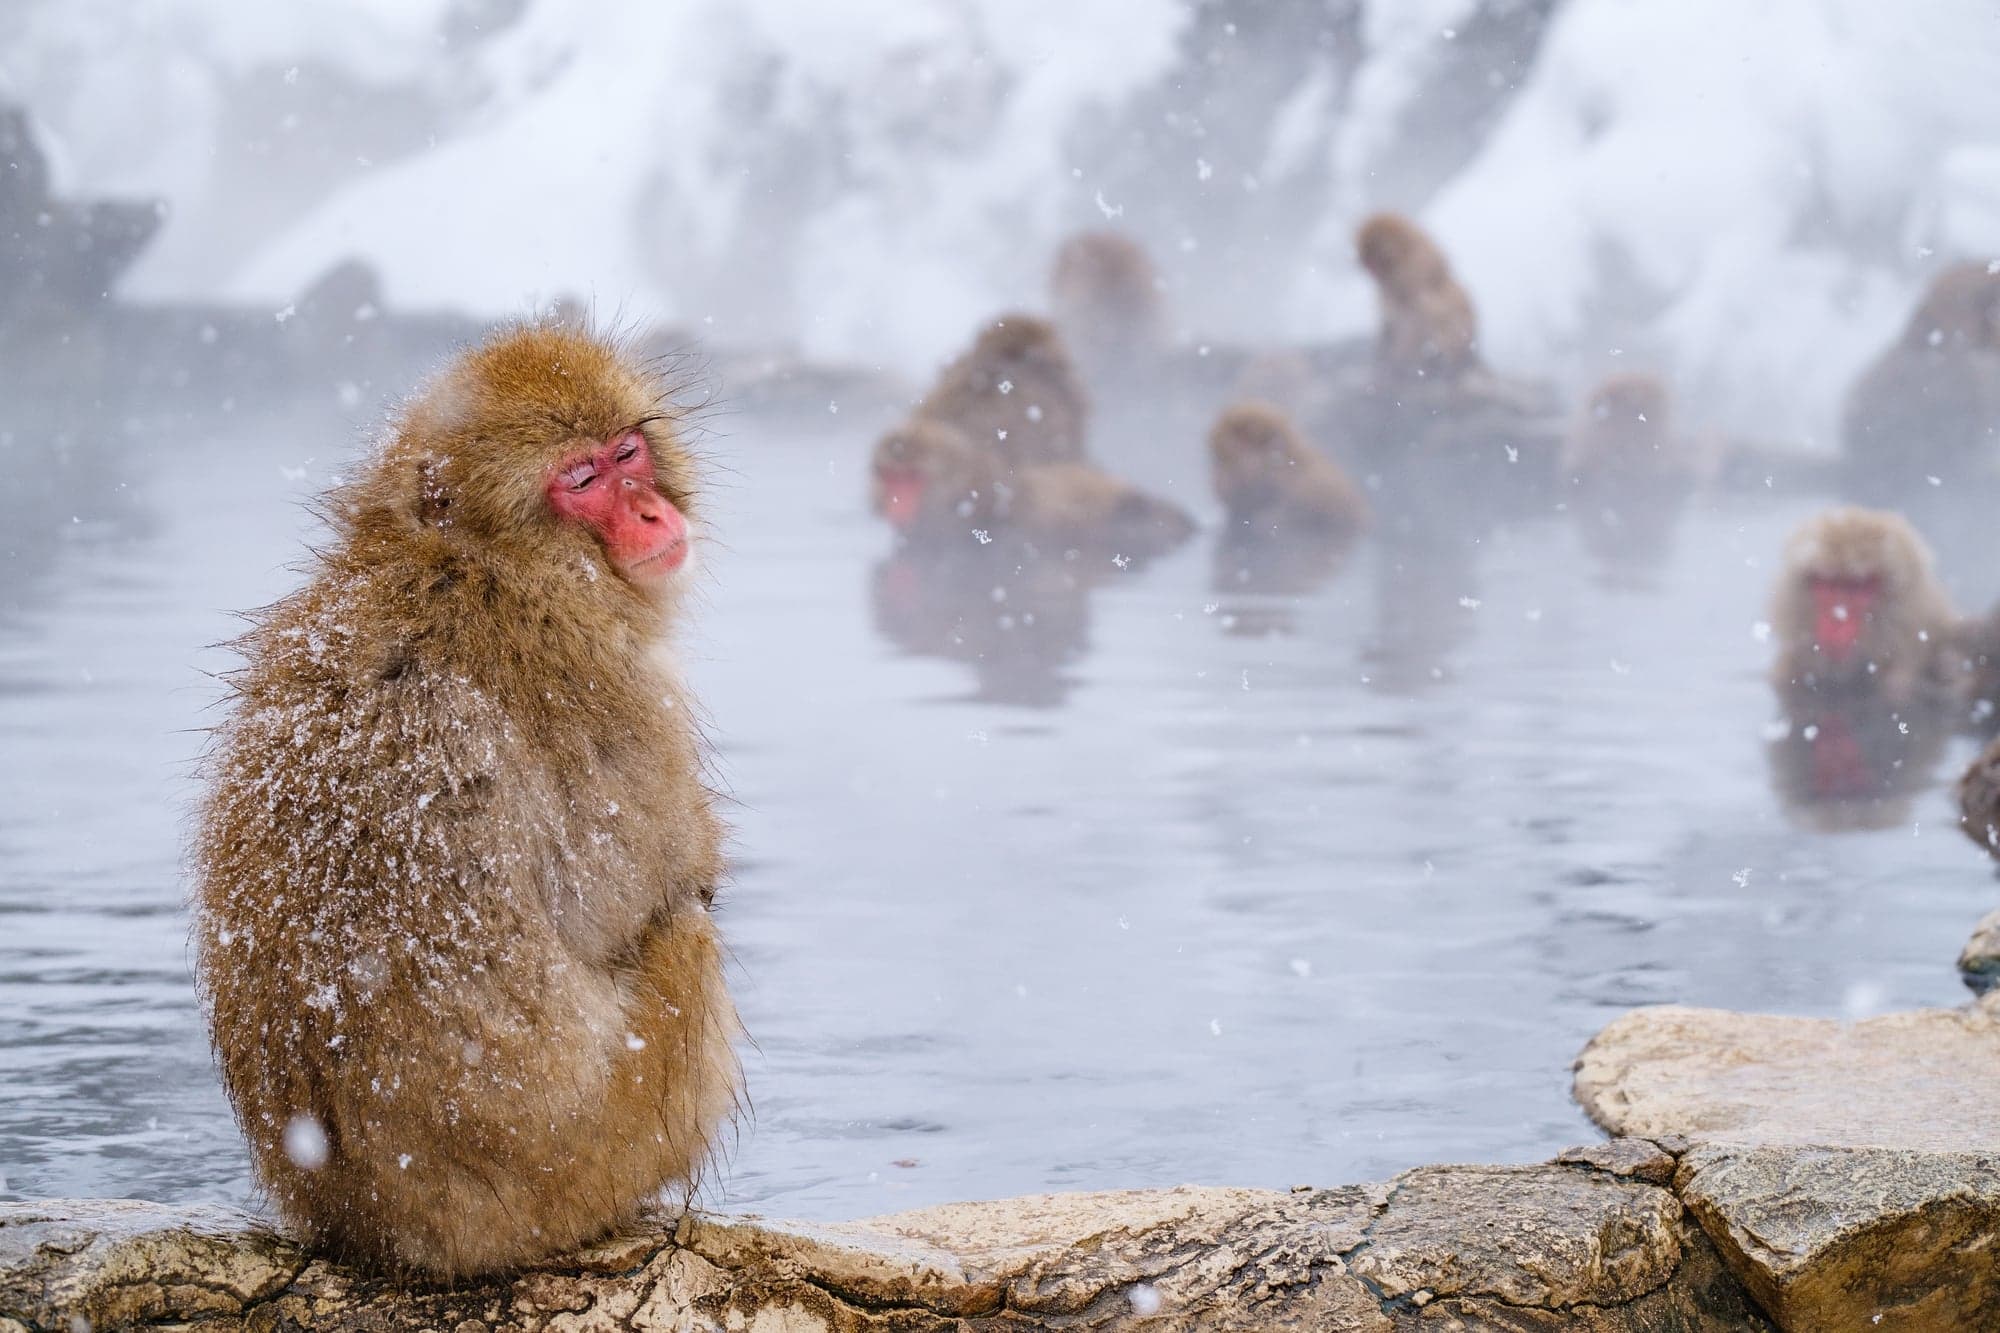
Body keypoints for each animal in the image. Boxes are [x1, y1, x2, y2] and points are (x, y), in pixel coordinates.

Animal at [192, 324, 739, 1278]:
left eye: (627, 453)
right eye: (581, 480)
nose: (649, 513)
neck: (471, 561)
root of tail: (376, 1229)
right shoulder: (600, 685)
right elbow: (638, 890)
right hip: (589, 1155)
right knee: (687, 932)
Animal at [1354, 212, 1481, 382]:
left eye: (1374, 263)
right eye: (1367, 264)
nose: (1371, 272)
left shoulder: (1414, 278)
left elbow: (1415, 320)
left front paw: (1396, 364)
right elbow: (1390, 318)